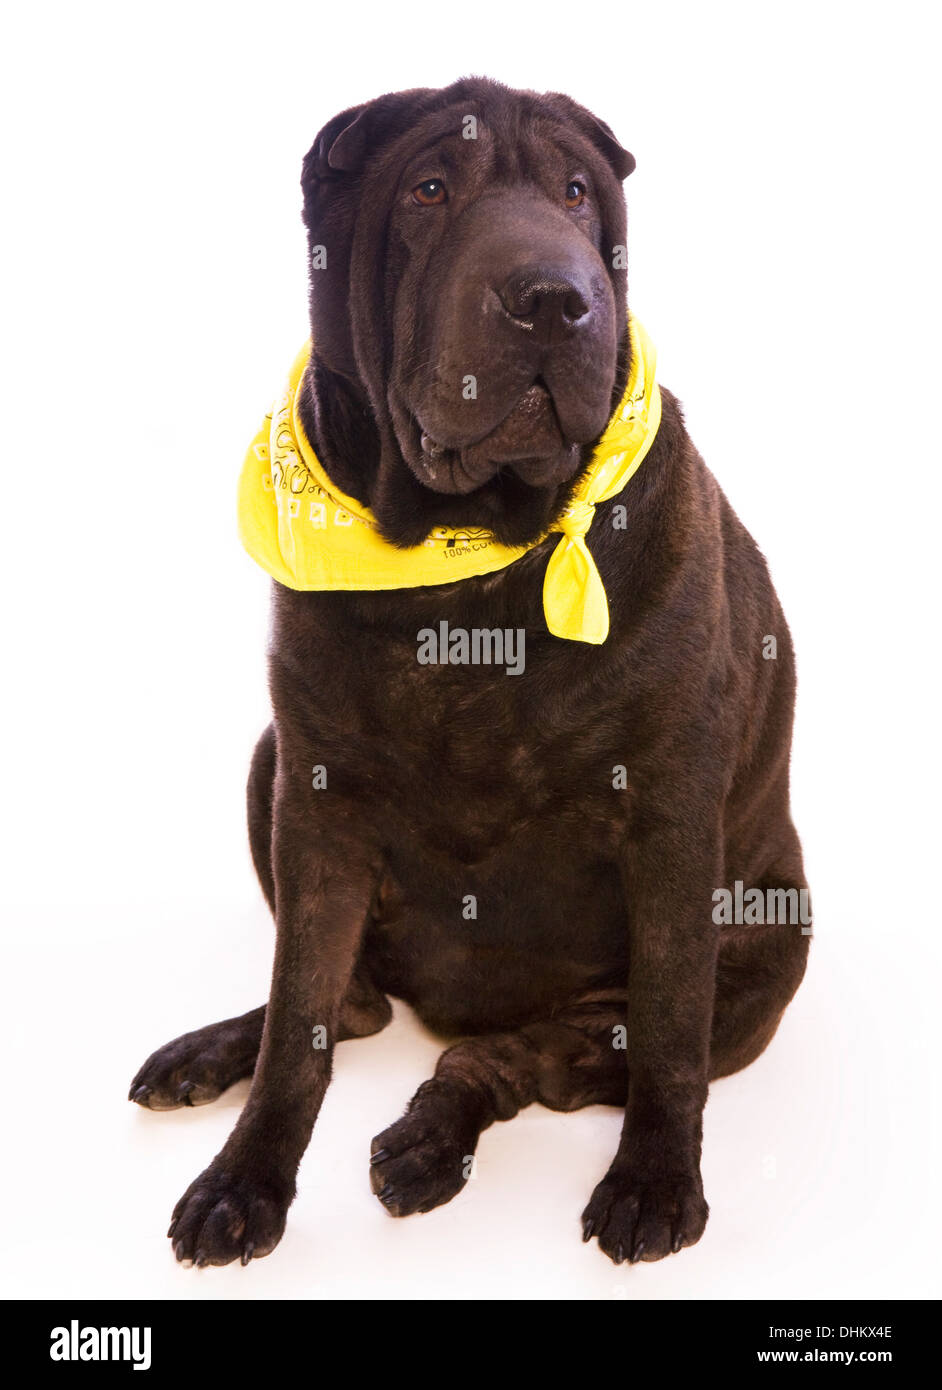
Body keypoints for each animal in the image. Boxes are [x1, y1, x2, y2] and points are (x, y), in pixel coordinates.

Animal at [131, 78, 811, 1273]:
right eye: (429, 191)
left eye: (577, 192)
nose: (554, 300)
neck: (467, 561)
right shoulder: (316, 796)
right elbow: (300, 1015)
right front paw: (243, 1182)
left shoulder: (671, 812)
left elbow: (669, 1027)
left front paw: (654, 1179)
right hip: (267, 767)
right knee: (349, 1006)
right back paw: (221, 1055)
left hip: (756, 957)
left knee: (517, 1060)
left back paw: (429, 1139)